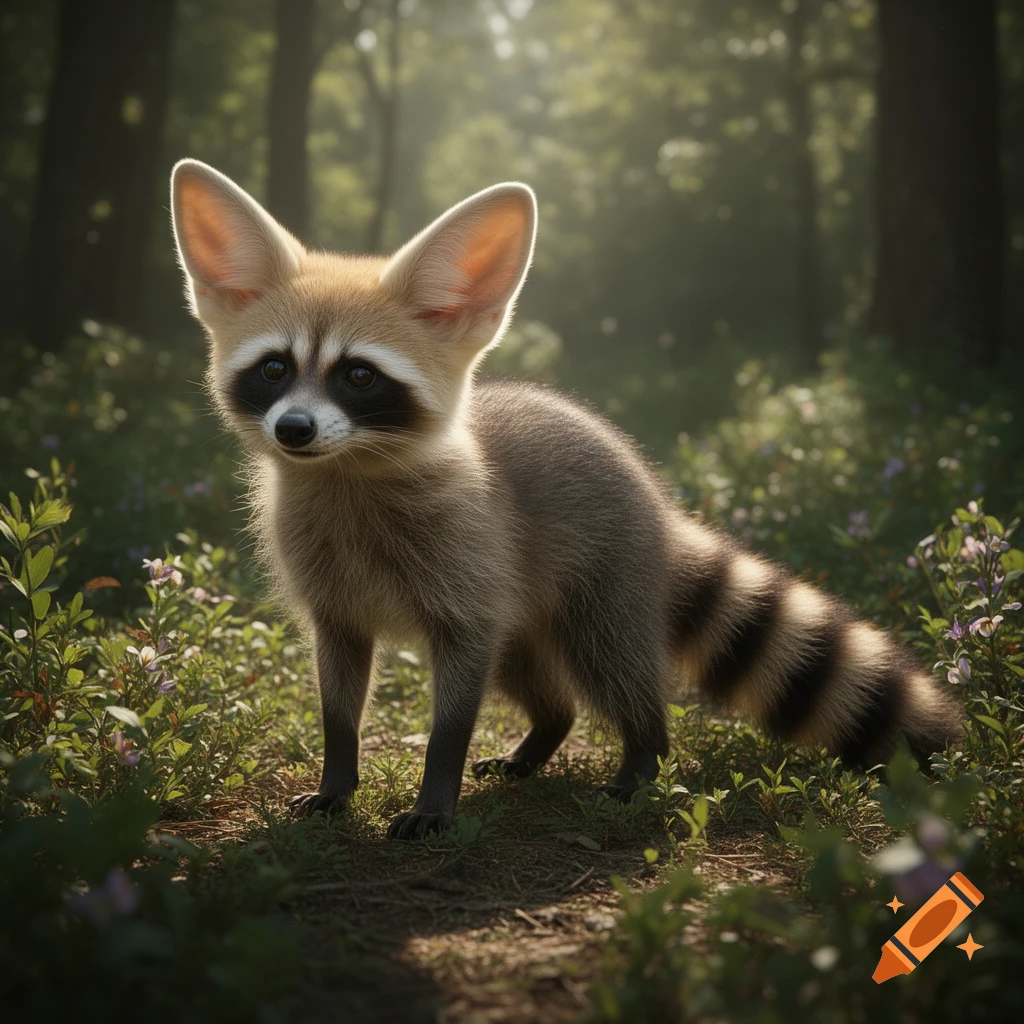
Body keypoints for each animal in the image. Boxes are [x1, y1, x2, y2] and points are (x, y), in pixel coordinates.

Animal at [169, 159, 963, 840]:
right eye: (275, 369)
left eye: (358, 376)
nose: (293, 430)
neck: (348, 470)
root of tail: (655, 499)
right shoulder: (335, 594)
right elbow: (337, 696)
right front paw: (338, 779)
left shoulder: (466, 575)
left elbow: (454, 710)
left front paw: (436, 789)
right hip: (521, 605)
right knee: (541, 684)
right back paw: (543, 735)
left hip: (600, 577)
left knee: (612, 664)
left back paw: (644, 751)